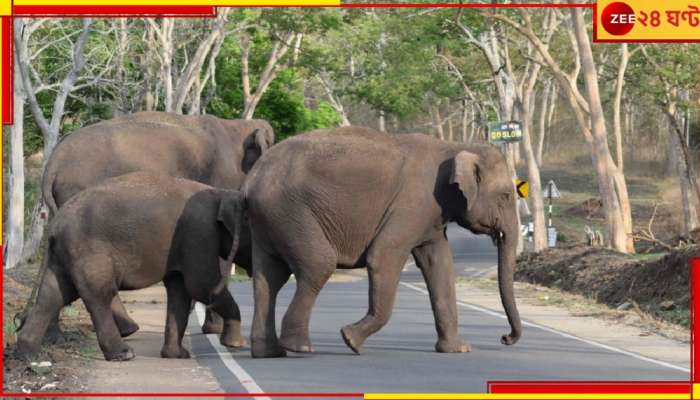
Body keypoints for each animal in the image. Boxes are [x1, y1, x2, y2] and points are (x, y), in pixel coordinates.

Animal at [14, 173, 252, 362]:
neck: (222, 193)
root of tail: (54, 225)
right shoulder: (199, 231)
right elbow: (202, 284)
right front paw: (234, 344)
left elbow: (180, 289)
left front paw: (177, 355)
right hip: (87, 250)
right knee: (99, 294)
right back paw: (123, 354)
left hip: (64, 255)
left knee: (54, 294)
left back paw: (28, 355)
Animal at [35, 111, 272, 340]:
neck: (238, 127)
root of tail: (53, 163)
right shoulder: (220, 180)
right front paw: (213, 328)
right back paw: (127, 330)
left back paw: (53, 336)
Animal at [243, 126, 524, 358]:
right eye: (506, 196)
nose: (505, 338)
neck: (455, 146)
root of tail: (251, 179)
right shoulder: (414, 203)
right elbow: (383, 255)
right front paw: (350, 340)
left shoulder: (431, 215)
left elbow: (440, 264)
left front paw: (458, 350)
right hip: (290, 212)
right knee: (318, 264)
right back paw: (299, 347)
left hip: (269, 220)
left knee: (269, 277)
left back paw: (269, 353)